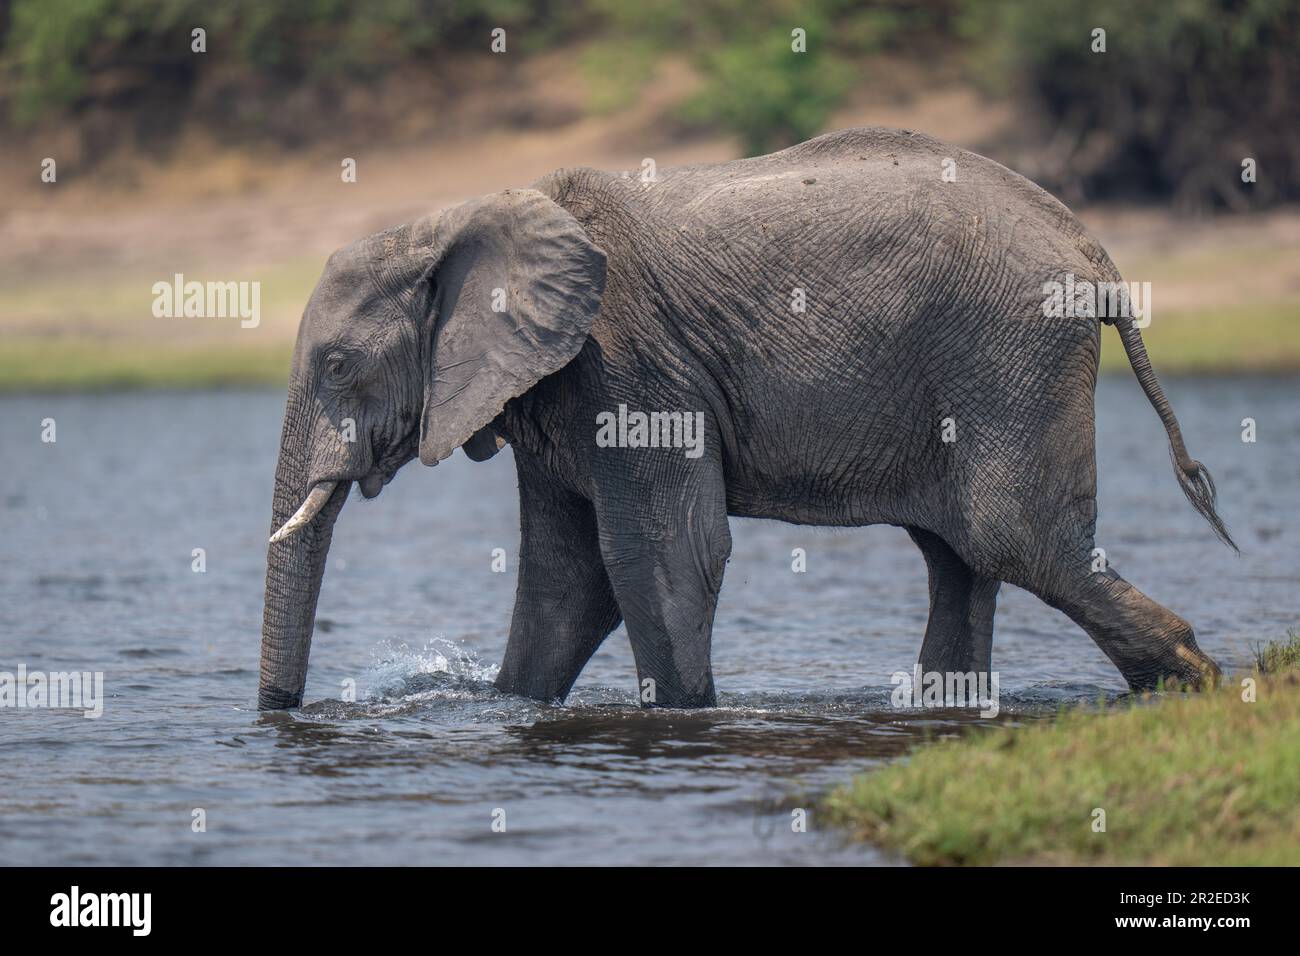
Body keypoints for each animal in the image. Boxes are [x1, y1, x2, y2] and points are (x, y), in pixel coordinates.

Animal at [258, 126, 1233, 711]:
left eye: (338, 367)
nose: (285, 718)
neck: (457, 218)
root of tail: (1090, 246)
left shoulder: (630, 363)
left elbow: (658, 555)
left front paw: (687, 714)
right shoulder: (556, 386)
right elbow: (565, 582)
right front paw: (514, 706)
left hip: (1006, 355)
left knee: (1010, 537)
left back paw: (1200, 680)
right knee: (958, 556)